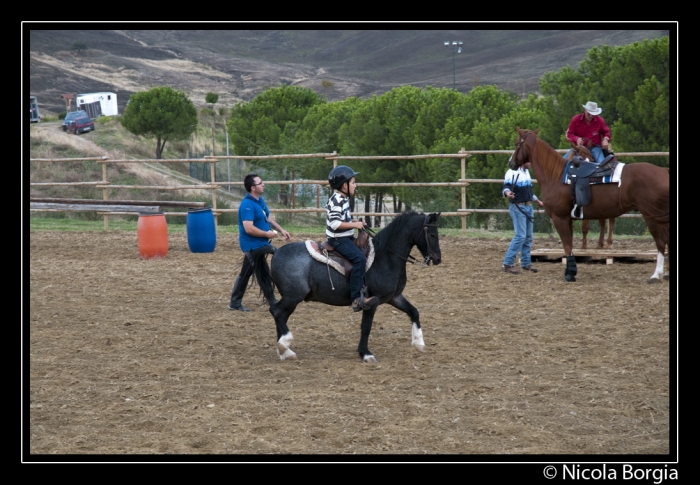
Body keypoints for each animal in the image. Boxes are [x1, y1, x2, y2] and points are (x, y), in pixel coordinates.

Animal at [512, 126, 668, 282]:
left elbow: (567, 246)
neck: (556, 176)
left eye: (517, 144)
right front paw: (570, 270)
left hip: (652, 216)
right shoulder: (568, 219)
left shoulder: (559, 218)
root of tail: (664, 171)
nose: (511, 162)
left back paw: (656, 275)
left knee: (661, 242)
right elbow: (570, 246)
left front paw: (570, 274)